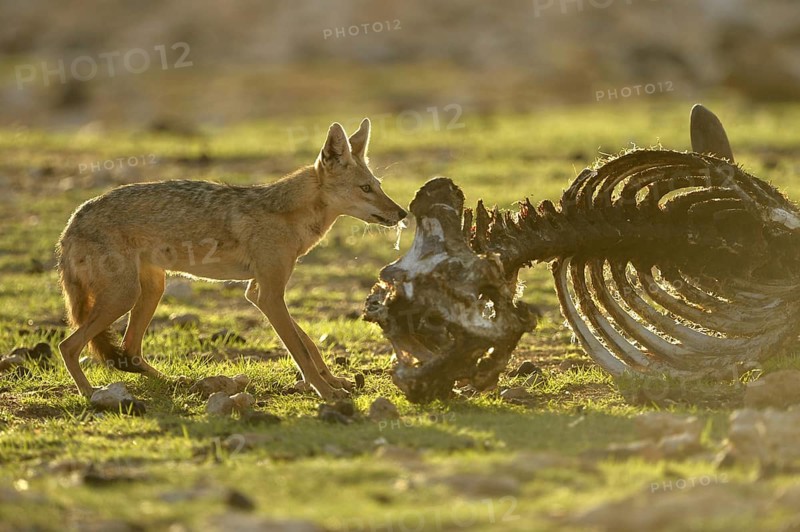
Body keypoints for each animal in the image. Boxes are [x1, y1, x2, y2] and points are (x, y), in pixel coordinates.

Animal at [57, 118, 407, 401]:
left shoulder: (258, 291)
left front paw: (333, 381)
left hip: (150, 290)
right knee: (69, 346)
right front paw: (327, 392)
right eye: (365, 188)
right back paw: (90, 393)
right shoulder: (269, 295)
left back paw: (175, 382)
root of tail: (70, 224)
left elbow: (308, 343)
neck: (288, 216)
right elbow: (299, 349)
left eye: (378, 186)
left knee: (128, 352)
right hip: (124, 297)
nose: (402, 213)